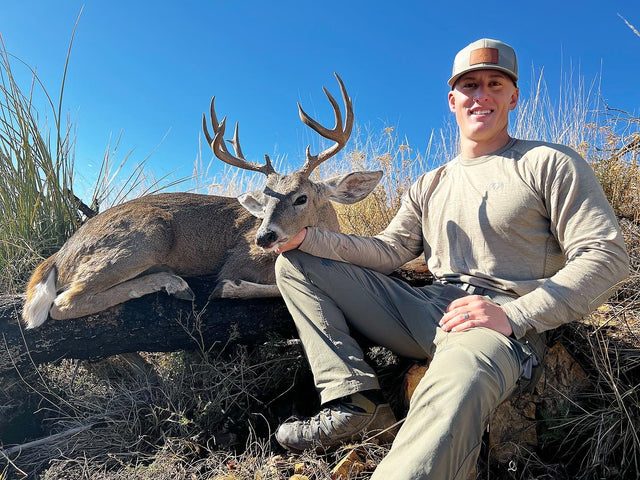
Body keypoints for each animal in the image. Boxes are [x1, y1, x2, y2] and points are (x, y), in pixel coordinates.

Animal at [21, 74, 383, 329]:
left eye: (301, 198)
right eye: (264, 202)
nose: (263, 236)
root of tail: (60, 254)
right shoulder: (239, 259)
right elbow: (270, 286)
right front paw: (231, 288)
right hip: (146, 236)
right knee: (63, 303)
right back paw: (173, 283)